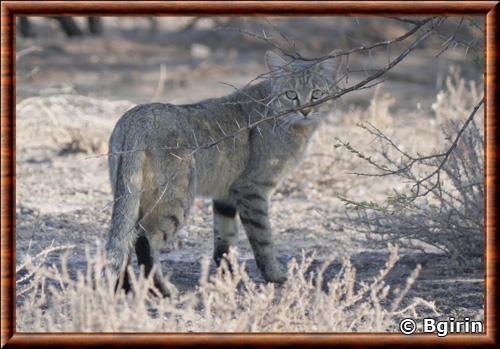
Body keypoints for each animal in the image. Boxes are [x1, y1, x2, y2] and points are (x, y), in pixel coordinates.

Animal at [107, 48, 346, 294]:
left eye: (317, 94)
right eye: (290, 94)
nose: (305, 110)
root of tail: (137, 115)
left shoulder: (226, 194)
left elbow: (225, 241)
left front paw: (230, 277)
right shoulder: (253, 189)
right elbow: (263, 238)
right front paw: (274, 275)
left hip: (130, 196)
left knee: (124, 239)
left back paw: (124, 288)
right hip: (176, 198)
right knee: (144, 238)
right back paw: (161, 289)